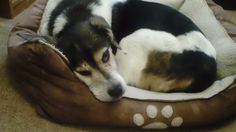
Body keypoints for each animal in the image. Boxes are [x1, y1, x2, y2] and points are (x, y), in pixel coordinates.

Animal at [37, 0, 218, 102]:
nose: (116, 92)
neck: (74, 16)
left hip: (133, 39)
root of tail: (209, 72)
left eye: (105, 56)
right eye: (83, 72)